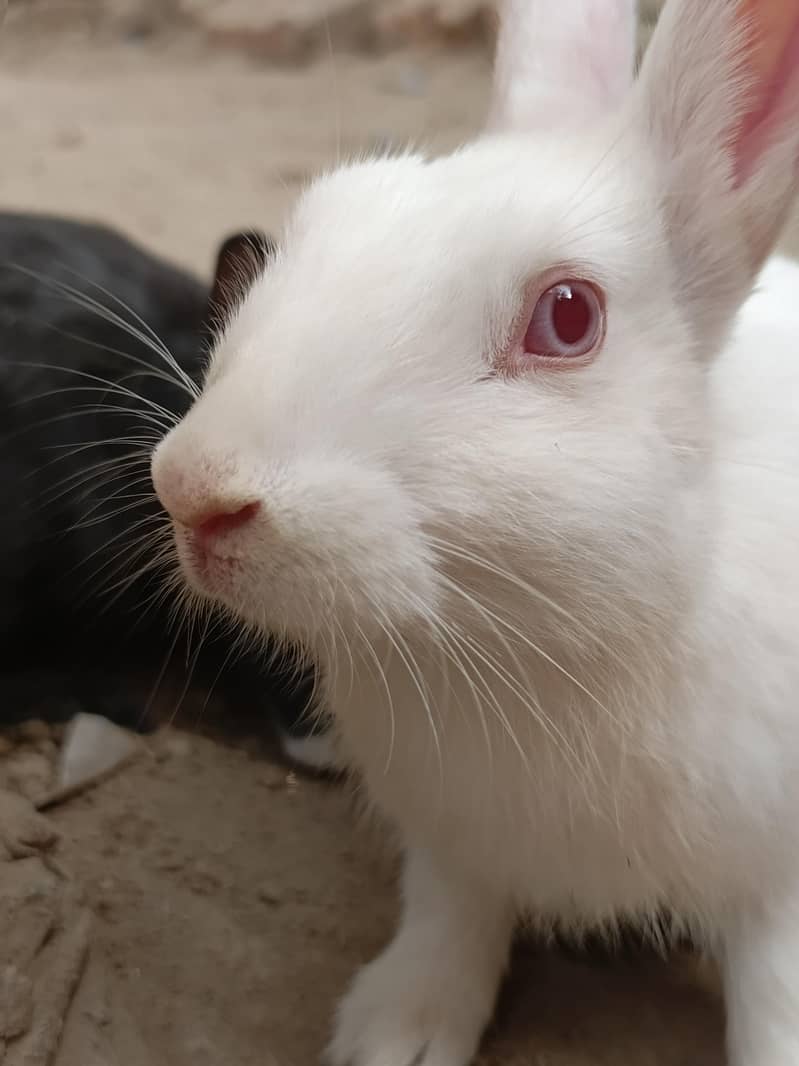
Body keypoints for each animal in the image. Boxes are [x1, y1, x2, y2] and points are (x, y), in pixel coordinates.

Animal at [150, 0, 799, 1061]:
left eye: (568, 316)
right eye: (318, 221)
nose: (195, 490)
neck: (530, 652)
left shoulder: (777, 875)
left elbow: (774, 994)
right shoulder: (451, 844)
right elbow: (449, 917)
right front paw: (395, 1034)